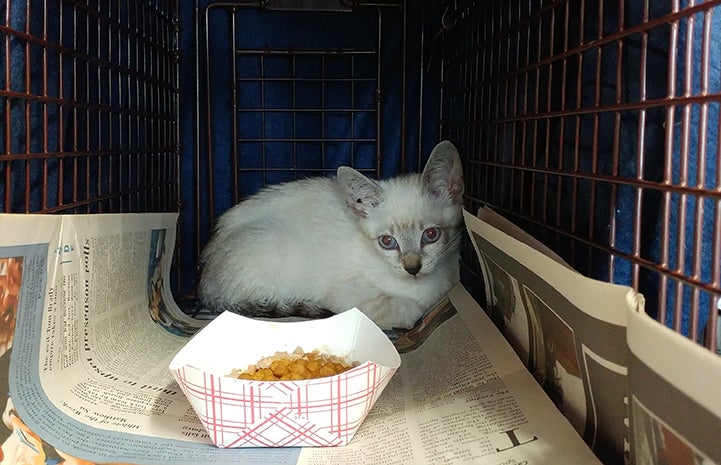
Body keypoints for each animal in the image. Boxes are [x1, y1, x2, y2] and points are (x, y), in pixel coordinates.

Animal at [200, 140, 464, 328]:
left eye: (431, 234)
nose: (413, 268)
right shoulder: (345, 296)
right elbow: (400, 309)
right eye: (388, 242)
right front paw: (412, 310)